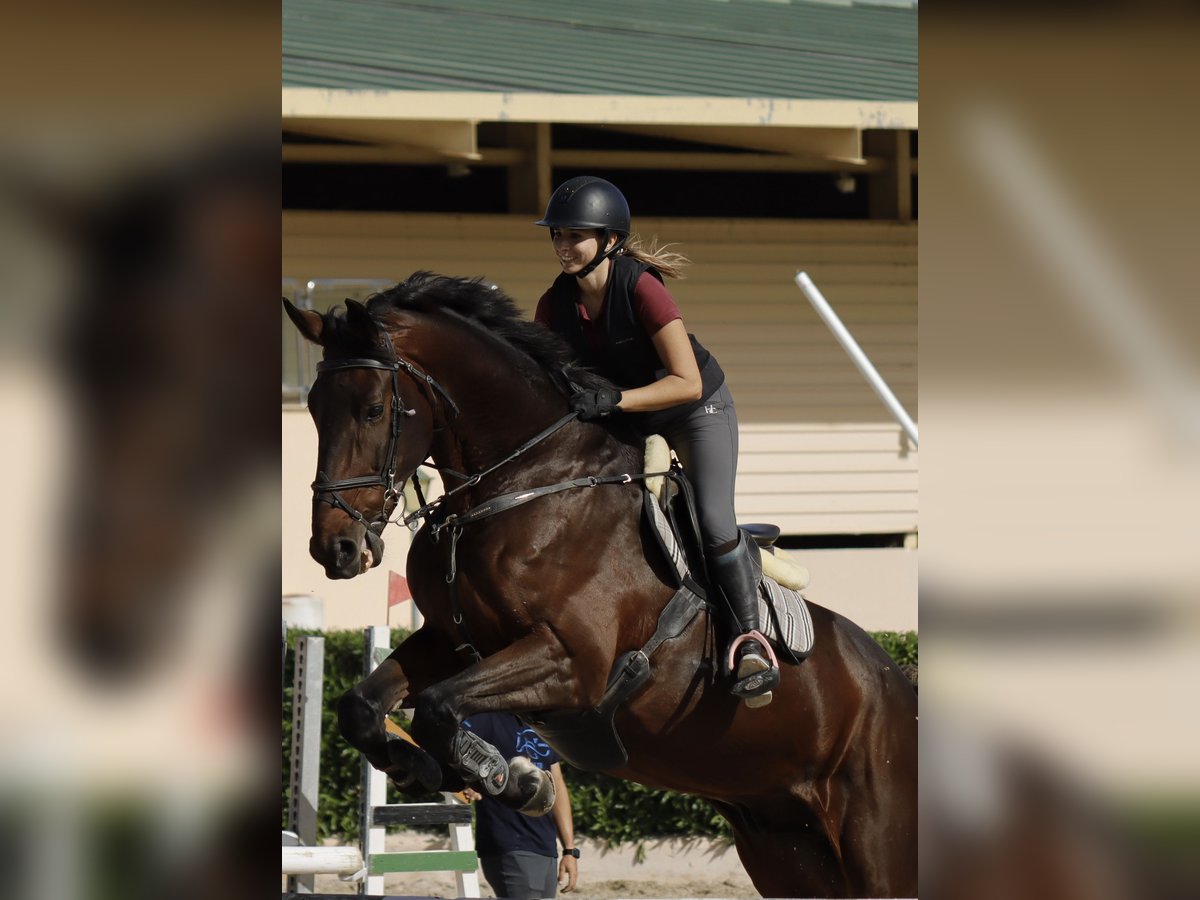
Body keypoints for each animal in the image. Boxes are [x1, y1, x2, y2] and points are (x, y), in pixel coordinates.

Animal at [282, 272, 917, 899]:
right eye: (312, 408)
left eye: (372, 410)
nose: (334, 548)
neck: (521, 484)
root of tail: (897, 685)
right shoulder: (451, 641)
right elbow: (362, 707)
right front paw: (428, 769)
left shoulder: (572, 661)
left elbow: (437, 708)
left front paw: (512, 778)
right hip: (785, 851)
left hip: (875, 849)